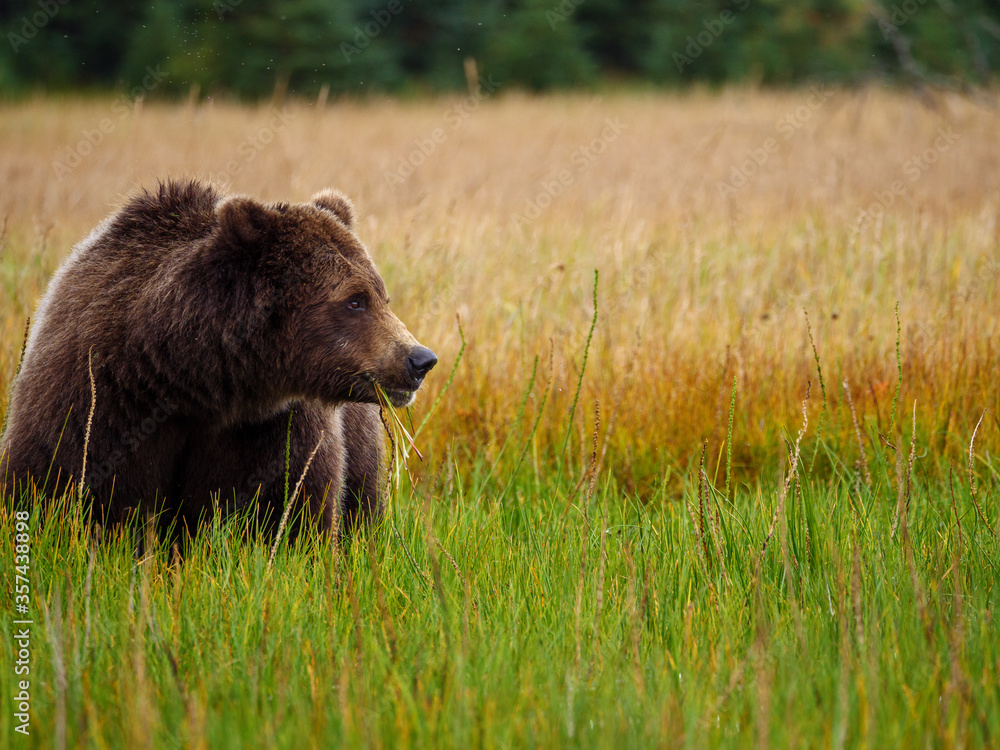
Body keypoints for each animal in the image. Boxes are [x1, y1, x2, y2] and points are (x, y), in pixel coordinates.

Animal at [0, 180, 438, 536]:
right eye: (354, 300)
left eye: (381, 295)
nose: (420, 359)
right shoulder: (97, 402)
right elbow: (61, 487)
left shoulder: (270, 430)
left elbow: (286, 510)